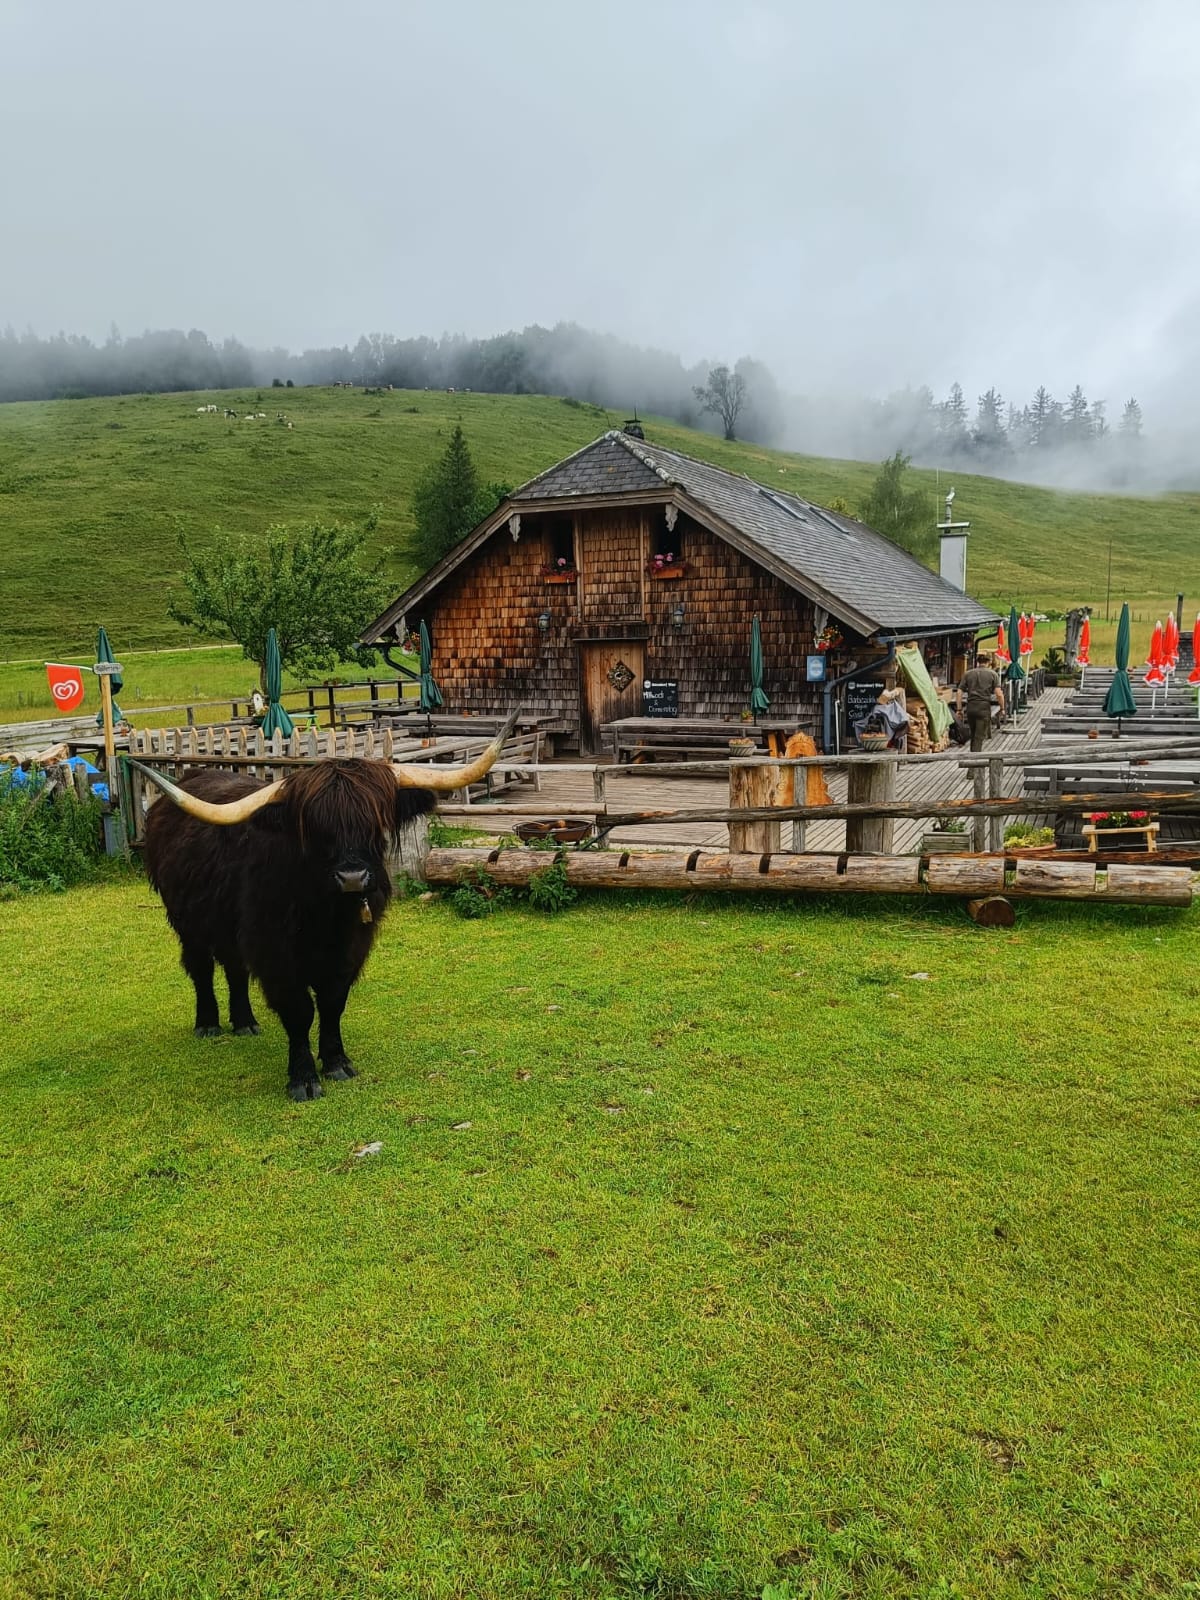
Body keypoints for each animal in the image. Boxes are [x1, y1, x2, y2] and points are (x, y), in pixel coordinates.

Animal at [136, 712, 517, 1101]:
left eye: (375, 823)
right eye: (317, 830)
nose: (352, 877)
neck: (326, 916)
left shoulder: (350, 951)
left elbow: (333, 1003)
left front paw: (336, 1063)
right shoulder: (274, 953)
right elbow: (299, 1010)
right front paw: (303, 1078)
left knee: (234, 968)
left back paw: (245, 1023)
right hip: (187, 922)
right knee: (201, 968)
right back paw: (208, 1024)